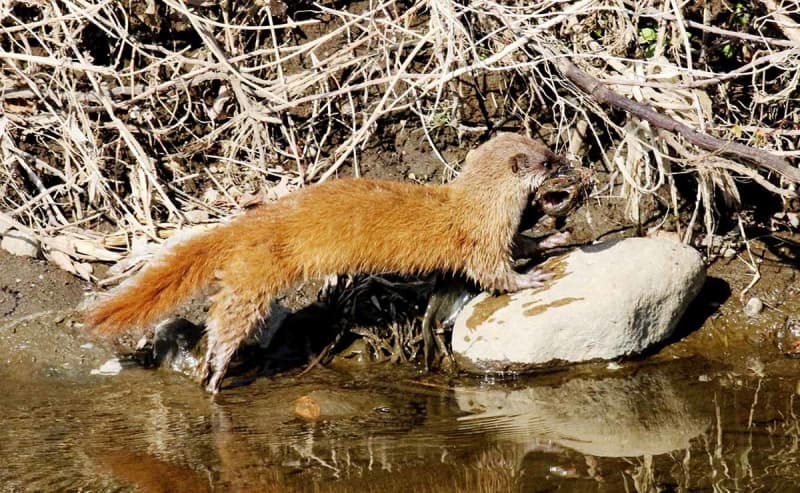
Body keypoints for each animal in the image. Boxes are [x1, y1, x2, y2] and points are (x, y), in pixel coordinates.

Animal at [86, 132, 564, 392]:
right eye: (548, 160)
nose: (569, 162)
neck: (478, 204)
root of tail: (248, 221)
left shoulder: (502, 234)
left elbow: (521, 244)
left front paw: (552, 237)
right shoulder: (482, 240)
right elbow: (493, 273)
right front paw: (533, 277)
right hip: (259, 273)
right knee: (230, 319)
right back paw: (217, 371)